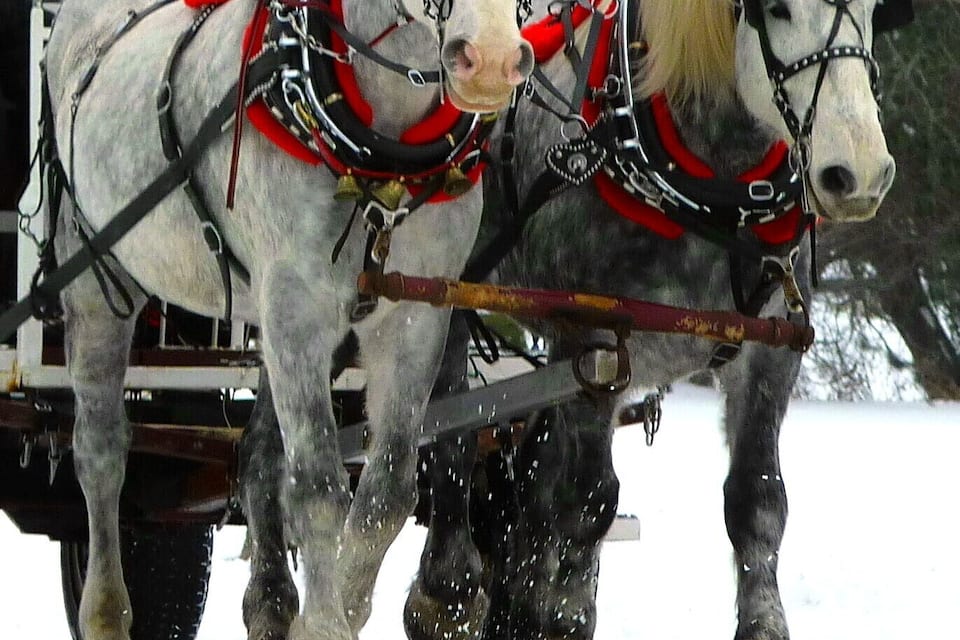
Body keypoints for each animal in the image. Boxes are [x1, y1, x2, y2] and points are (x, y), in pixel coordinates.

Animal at [42, 0, 533, 638]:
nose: (492, 59)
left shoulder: (414, 322)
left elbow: (385, 496)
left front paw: (338, 609)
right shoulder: (296, 312)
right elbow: (318, 488)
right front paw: (323, 623)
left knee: (256, 459)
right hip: (95, 277)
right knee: (101, 452)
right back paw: (105, 611)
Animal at [403, 1, 902, 639]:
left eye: (872, 11)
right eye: (775, 10)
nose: (857, 172)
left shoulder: (769, 351)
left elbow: (758, 500)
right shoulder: (593, 346)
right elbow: (589, 501)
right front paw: (563, 615)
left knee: (532, 482)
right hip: (444, 291)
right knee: (450, 432)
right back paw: (448, 592)